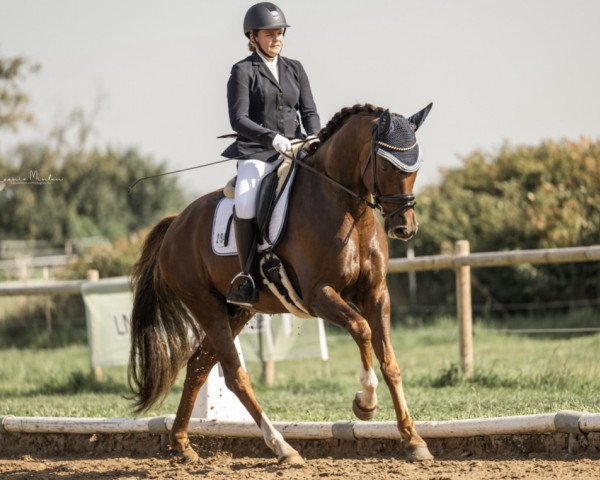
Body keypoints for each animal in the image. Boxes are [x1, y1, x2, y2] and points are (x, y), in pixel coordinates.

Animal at [129, 102, 434, 464]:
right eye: (386, 164)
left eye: (416, 164)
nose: (405, 228)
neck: (345, 205)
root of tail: (176, 224)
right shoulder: (319, 295)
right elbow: (361, 330)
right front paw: (365, 404)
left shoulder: (376, 294)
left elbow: (390, 362)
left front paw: (413, 440)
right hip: (205, 307)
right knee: (235, 375)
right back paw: (283, 448)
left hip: (236, 311)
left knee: (198, 366)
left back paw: (181, 444)